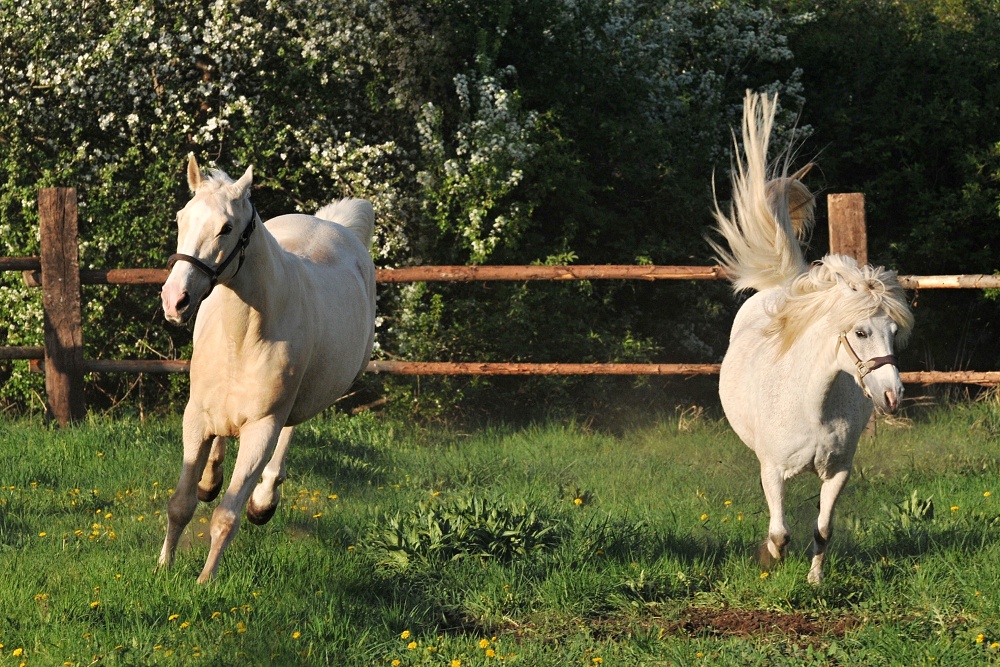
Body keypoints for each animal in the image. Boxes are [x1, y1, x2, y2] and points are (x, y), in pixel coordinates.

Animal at [158, 157, 376, 584]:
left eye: (226, 228)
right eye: (181, 219)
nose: (175, 300)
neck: (242, 337)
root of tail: (332, 222)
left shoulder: (262, 427)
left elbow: (226, 516)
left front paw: (204, 581)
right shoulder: (196, 416)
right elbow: (181, 503)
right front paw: (163, 566)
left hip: (301, 399)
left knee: (290, 429)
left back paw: (262, 501)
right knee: (221, 442)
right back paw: (211, 478)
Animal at [712, 92, 916, 584]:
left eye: (894, 332)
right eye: (860, 331)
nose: (894, 396)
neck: (812, 403)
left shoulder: (838, 471)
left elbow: (822, 529)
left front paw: (815, 580)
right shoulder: (772, 470)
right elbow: (780, 532)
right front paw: (769, 562)